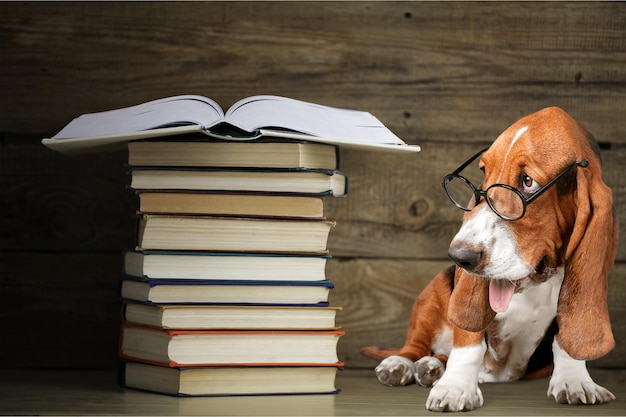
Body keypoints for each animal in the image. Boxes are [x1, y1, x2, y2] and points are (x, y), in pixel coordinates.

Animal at [358, 106, 616, 410]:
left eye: (528, 182)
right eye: (483, 173)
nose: (459, 256)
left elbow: (564, 339)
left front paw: (575, 379)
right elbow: (468, 343)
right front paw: (455, 387)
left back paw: (433, 367)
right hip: (433, 292)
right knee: (416, 345)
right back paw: (404, 364)